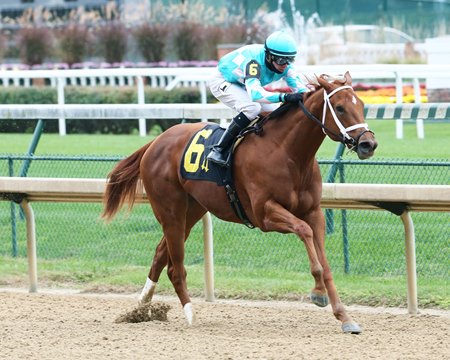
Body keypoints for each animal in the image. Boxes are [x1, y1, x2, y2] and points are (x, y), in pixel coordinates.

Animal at [102, 71, 376, 334]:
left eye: (362, 104)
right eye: (339, 108)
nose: (368, 143)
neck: (288, 153)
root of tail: (155, 142)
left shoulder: (314, 211)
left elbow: (324, 261)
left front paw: (345, 317)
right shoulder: (264, 213)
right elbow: (304, 231)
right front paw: (318, 293)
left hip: (192, 210)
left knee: (160, 254)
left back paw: (140, 309)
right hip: (170, 211)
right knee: (175, 267)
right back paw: (190, 314)